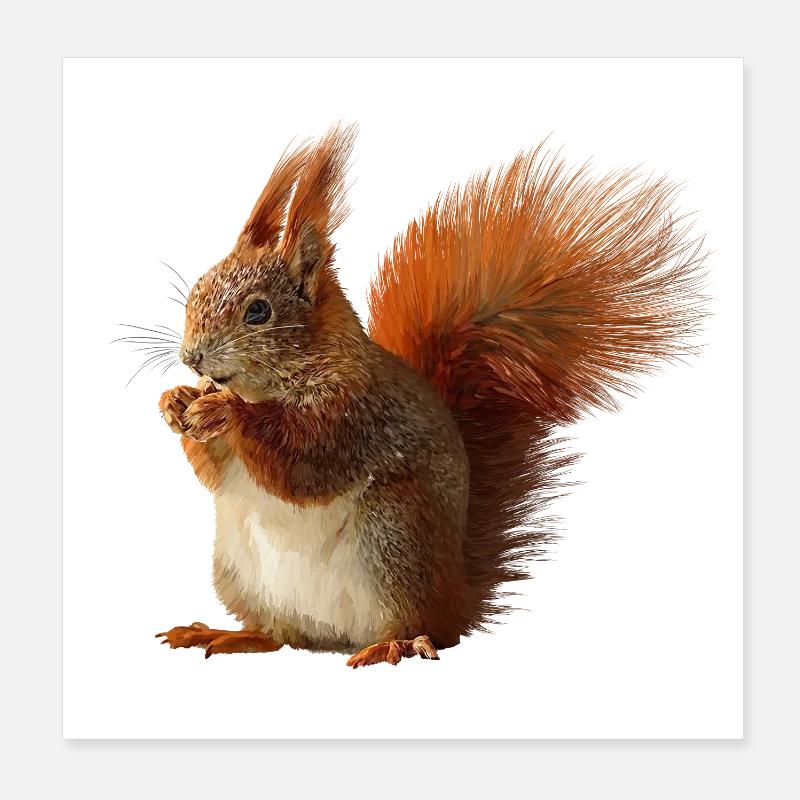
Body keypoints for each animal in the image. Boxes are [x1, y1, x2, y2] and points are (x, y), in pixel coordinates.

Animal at [155, 123, 706, 667]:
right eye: (196, 290)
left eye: (258, 311)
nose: (192, 357)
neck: (270, 385)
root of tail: (456, 595)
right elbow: (215, 472)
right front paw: (176, 402)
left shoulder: (354, 415)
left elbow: (301, 462)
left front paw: (225, 411)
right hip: (241, 571)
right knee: (282, 635)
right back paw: (229, 634)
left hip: (394, 537)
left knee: (426, 629)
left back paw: (393, 645)